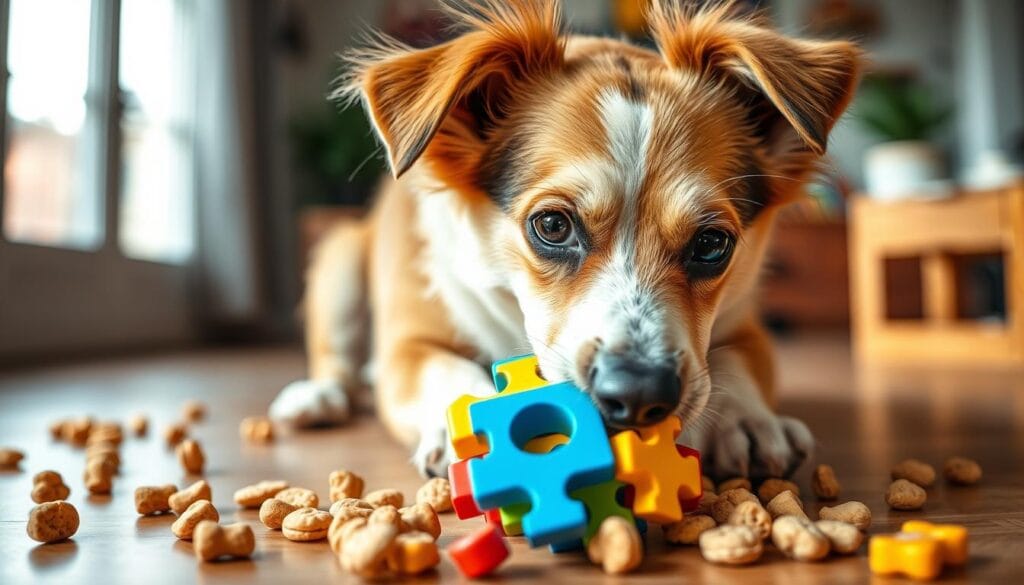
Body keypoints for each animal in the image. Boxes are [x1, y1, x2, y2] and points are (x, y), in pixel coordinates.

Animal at [268, 0, 860, 481]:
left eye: (713, 243)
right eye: (552, 226)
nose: (638, 394)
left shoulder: (746, 324)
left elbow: (738, 363)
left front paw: (746, 422)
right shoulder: (407, 346)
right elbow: (444, 368)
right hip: (340, 259)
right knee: (339, 358)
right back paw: (317, 396)